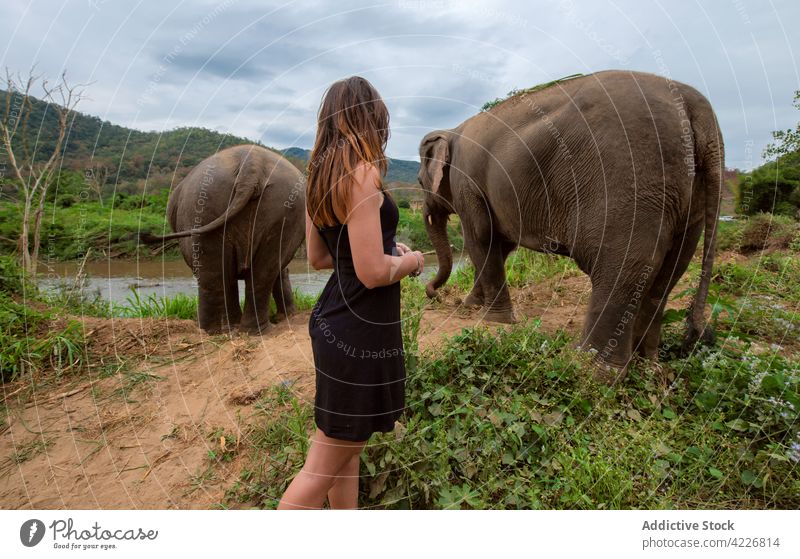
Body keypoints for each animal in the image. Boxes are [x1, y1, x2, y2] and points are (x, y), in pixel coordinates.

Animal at [422, 71, 720, 376]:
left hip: (631, 177)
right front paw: (471, 306)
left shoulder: (467, 183)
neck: (452, 129)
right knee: (669, 271)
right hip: (688, 195)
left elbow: (481, 238)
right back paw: (647, 364)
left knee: (623, 263)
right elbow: (501, 246)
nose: (434, 295)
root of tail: (696, 108)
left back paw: (588, 367)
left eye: (421, 182)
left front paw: (492, 320)